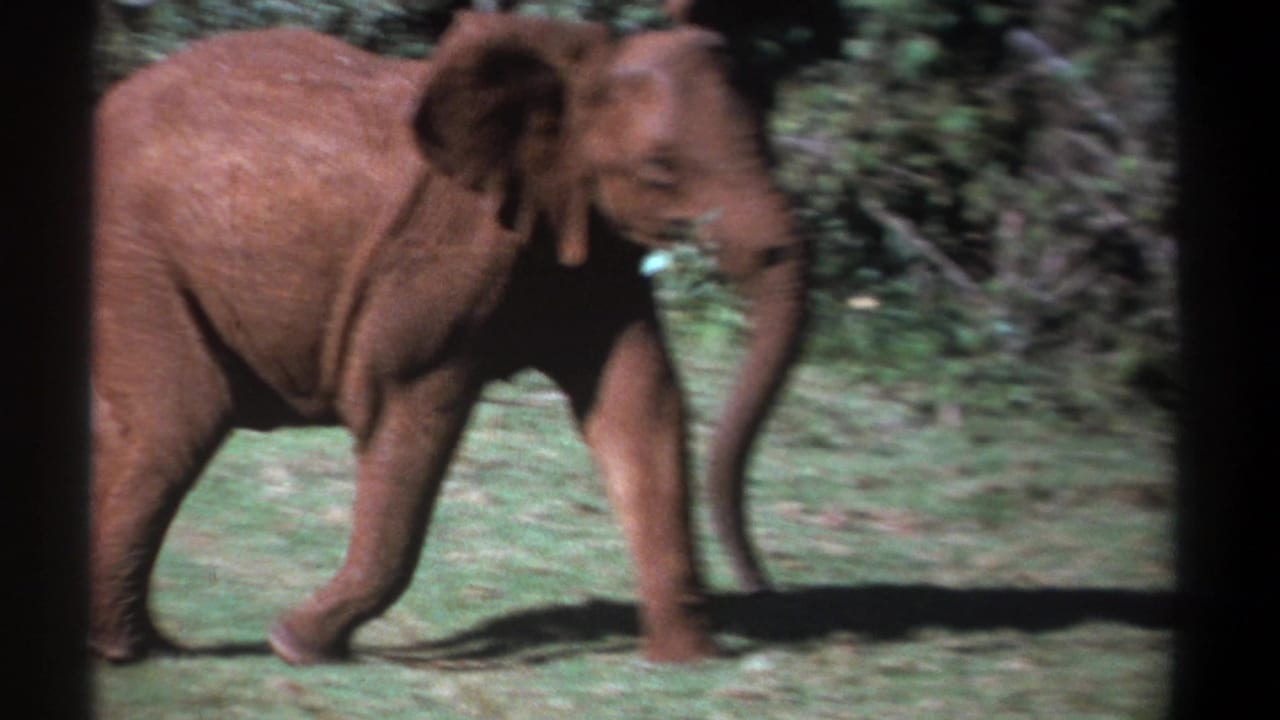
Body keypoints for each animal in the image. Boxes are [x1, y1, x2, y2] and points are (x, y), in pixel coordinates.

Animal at [90, 11, 807, 666]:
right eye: (660, 169)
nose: (761, 587)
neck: (575, 74)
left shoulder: (588, 238)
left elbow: (639, 403)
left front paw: (686, 661)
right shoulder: (446, 252)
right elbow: (404, 397)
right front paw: (295, 645)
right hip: (132, 252)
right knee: (179, 416)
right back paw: (125, 651)